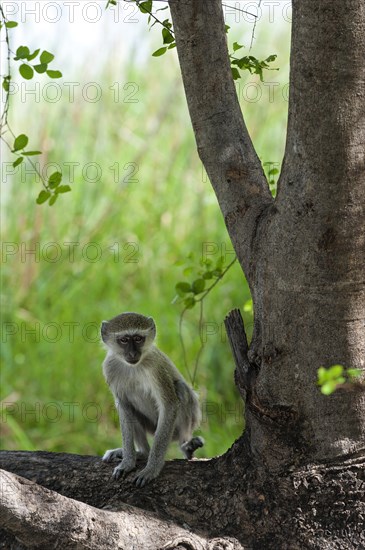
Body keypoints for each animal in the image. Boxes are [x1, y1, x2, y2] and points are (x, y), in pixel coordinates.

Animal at [100, 312, 202, 490]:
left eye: (138, 338)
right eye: (124, 340)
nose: (133, 354)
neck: (133, 367)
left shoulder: (156, 368)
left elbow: (169, 405)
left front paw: (152, 469)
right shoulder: (109, 367)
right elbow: (124, 407)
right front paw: (128, 462)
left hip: (175, 429)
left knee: (181, 389)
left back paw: (185, 446)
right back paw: (142, 453)